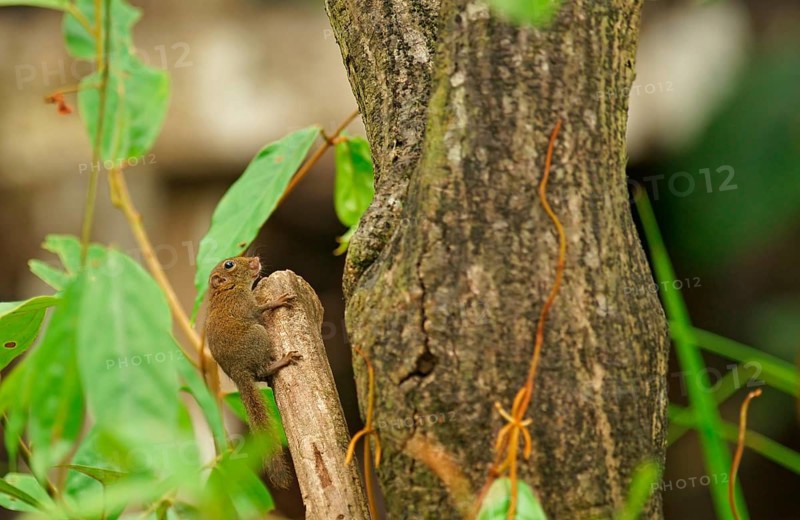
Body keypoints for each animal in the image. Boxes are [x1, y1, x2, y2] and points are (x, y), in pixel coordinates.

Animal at [205, 256, 302, 488]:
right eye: (229, 264)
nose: (255, 260)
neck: (229, 289)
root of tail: (238, 373)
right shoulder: (245, 305)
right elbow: (261, 309)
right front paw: (278, 301)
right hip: (259, 334)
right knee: (263, 369)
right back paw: (283, 361)